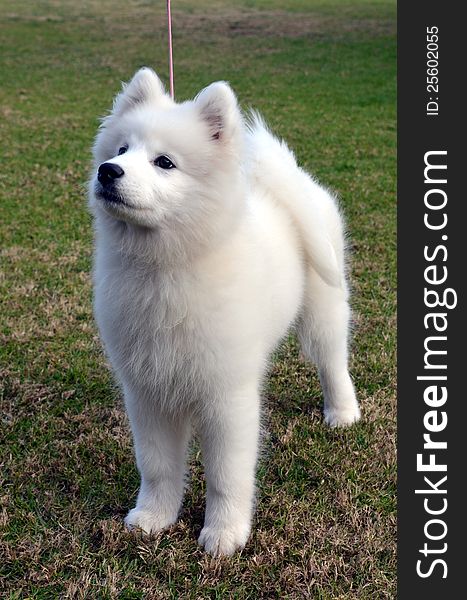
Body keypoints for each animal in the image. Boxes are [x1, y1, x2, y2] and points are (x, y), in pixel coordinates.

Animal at [89, 68, 364, 556]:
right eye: (121, 150)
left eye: (164, 162)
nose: (108, 171)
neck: (166, 269)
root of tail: (292, 179)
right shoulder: (147, 391)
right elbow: (157, 465)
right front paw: (154, 518)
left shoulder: (227, 395)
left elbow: (226, 475)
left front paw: (224, 535)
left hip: (323, 310)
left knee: (333, 362)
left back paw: (342, 413)